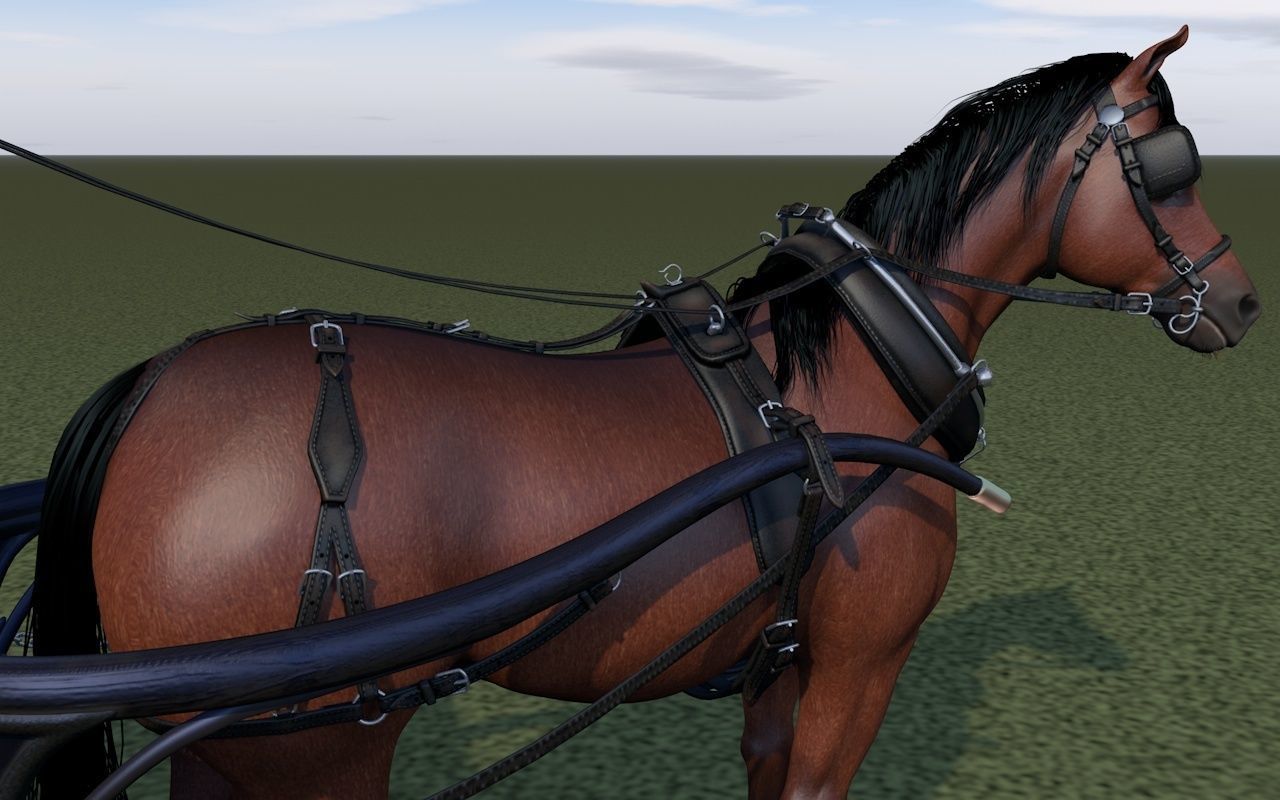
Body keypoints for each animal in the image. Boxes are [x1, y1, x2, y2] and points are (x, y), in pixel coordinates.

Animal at [28, 26, 1261, 799]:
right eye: (1173, 165)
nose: (1241, 302)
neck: (849, 372)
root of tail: (149, 386)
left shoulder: (778, 665)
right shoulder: (859, 668)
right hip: (309, 748)